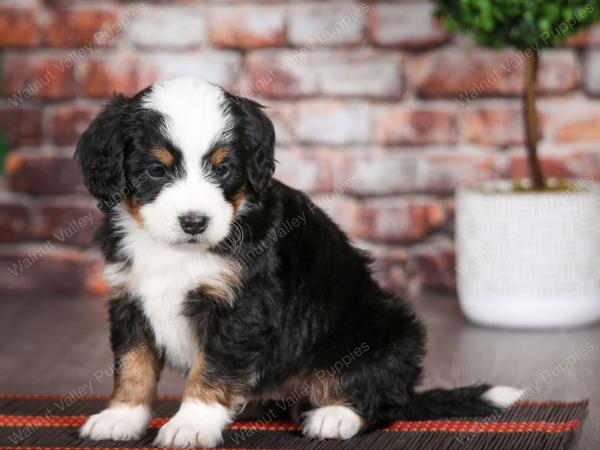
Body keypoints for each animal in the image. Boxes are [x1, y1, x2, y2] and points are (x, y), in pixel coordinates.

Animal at [77, 77, 524, 446]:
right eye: (156, 170)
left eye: (223, 169)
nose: (194, 222)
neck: (176, 251)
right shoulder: (129, 298)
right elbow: (133, 365)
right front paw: (122, 417)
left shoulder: (242, 306)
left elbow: (213, 368)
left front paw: (191, 424)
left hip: (385, 330)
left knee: (381, 399)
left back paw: (335, 416)